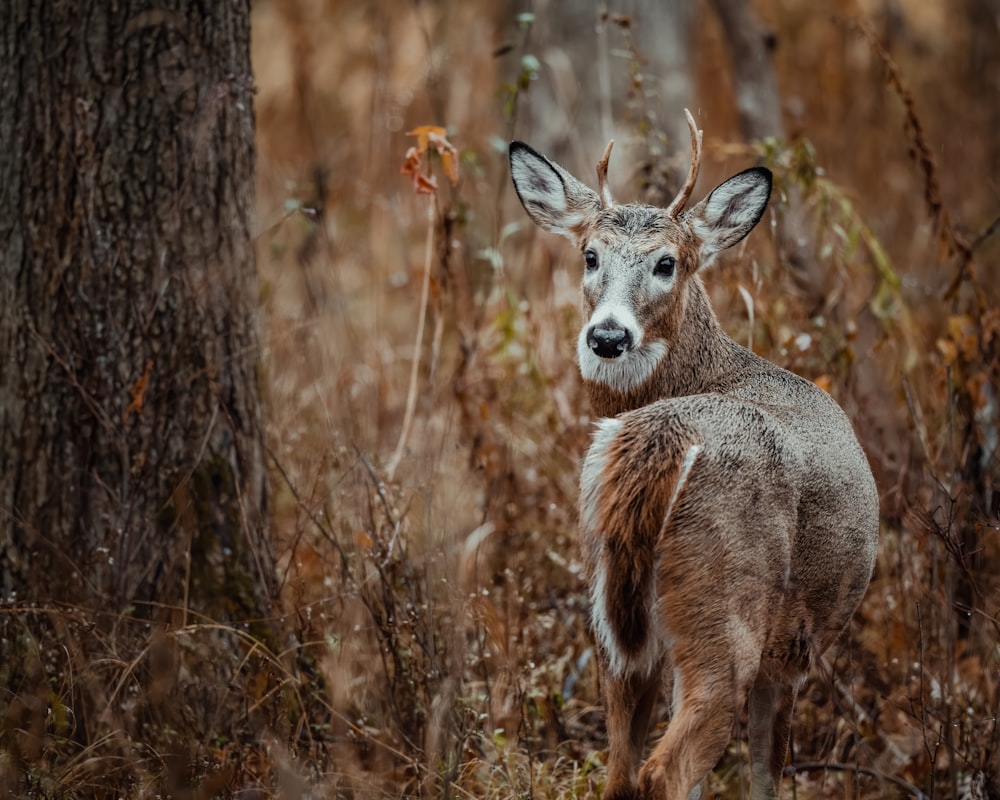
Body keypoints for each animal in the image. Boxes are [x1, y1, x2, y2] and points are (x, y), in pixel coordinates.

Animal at [508, 112, 876, 800]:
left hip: (611, 620)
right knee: (666, 769)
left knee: (621, 770)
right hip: (727, 612)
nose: (607, 336)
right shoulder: (791, 655)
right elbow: (766, 774)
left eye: (667, 263)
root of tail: (667, 435)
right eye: (590, 255)